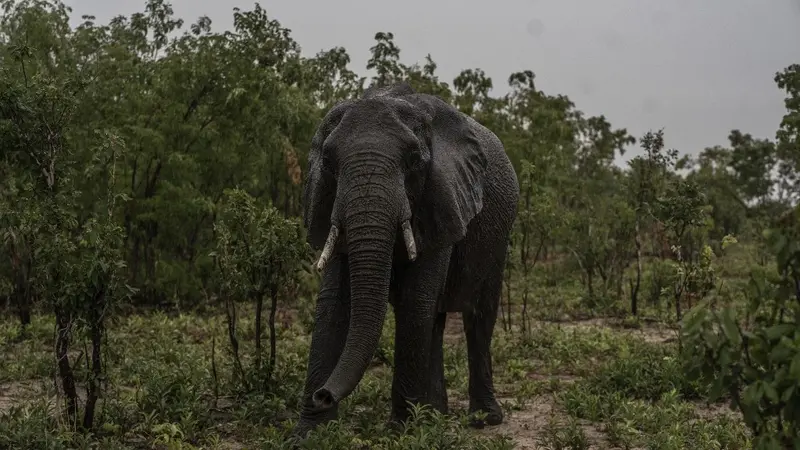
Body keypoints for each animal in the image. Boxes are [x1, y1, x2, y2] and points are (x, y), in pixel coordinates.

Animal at [292, 82, 520, 438]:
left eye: (413, 161)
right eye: (328, 161)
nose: (324, 394)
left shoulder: (441, 197)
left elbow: (416, 298)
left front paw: (401, 432)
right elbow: (333, 302)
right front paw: (308, 434)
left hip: (500, 234)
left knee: (478, 314)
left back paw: (483, 418)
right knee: (436, 320)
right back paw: (435, 415)